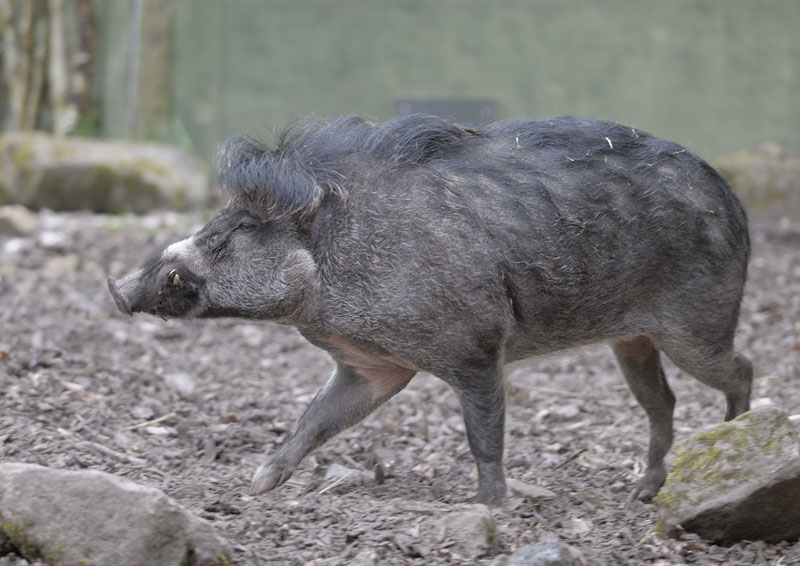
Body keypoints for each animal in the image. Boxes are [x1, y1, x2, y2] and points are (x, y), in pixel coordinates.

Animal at [108, 114, 753, 506]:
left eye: (237, 231)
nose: (118, 288)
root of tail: (732, 197)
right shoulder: (374, 366)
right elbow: (315, 418)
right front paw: (257, 484)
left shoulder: (476, 347)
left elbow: (484, 435)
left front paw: (487, 507)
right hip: (632, 339)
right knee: (663, 401)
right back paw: (643, 493)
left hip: (697, 324)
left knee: (741, 368)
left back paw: (731, 438)